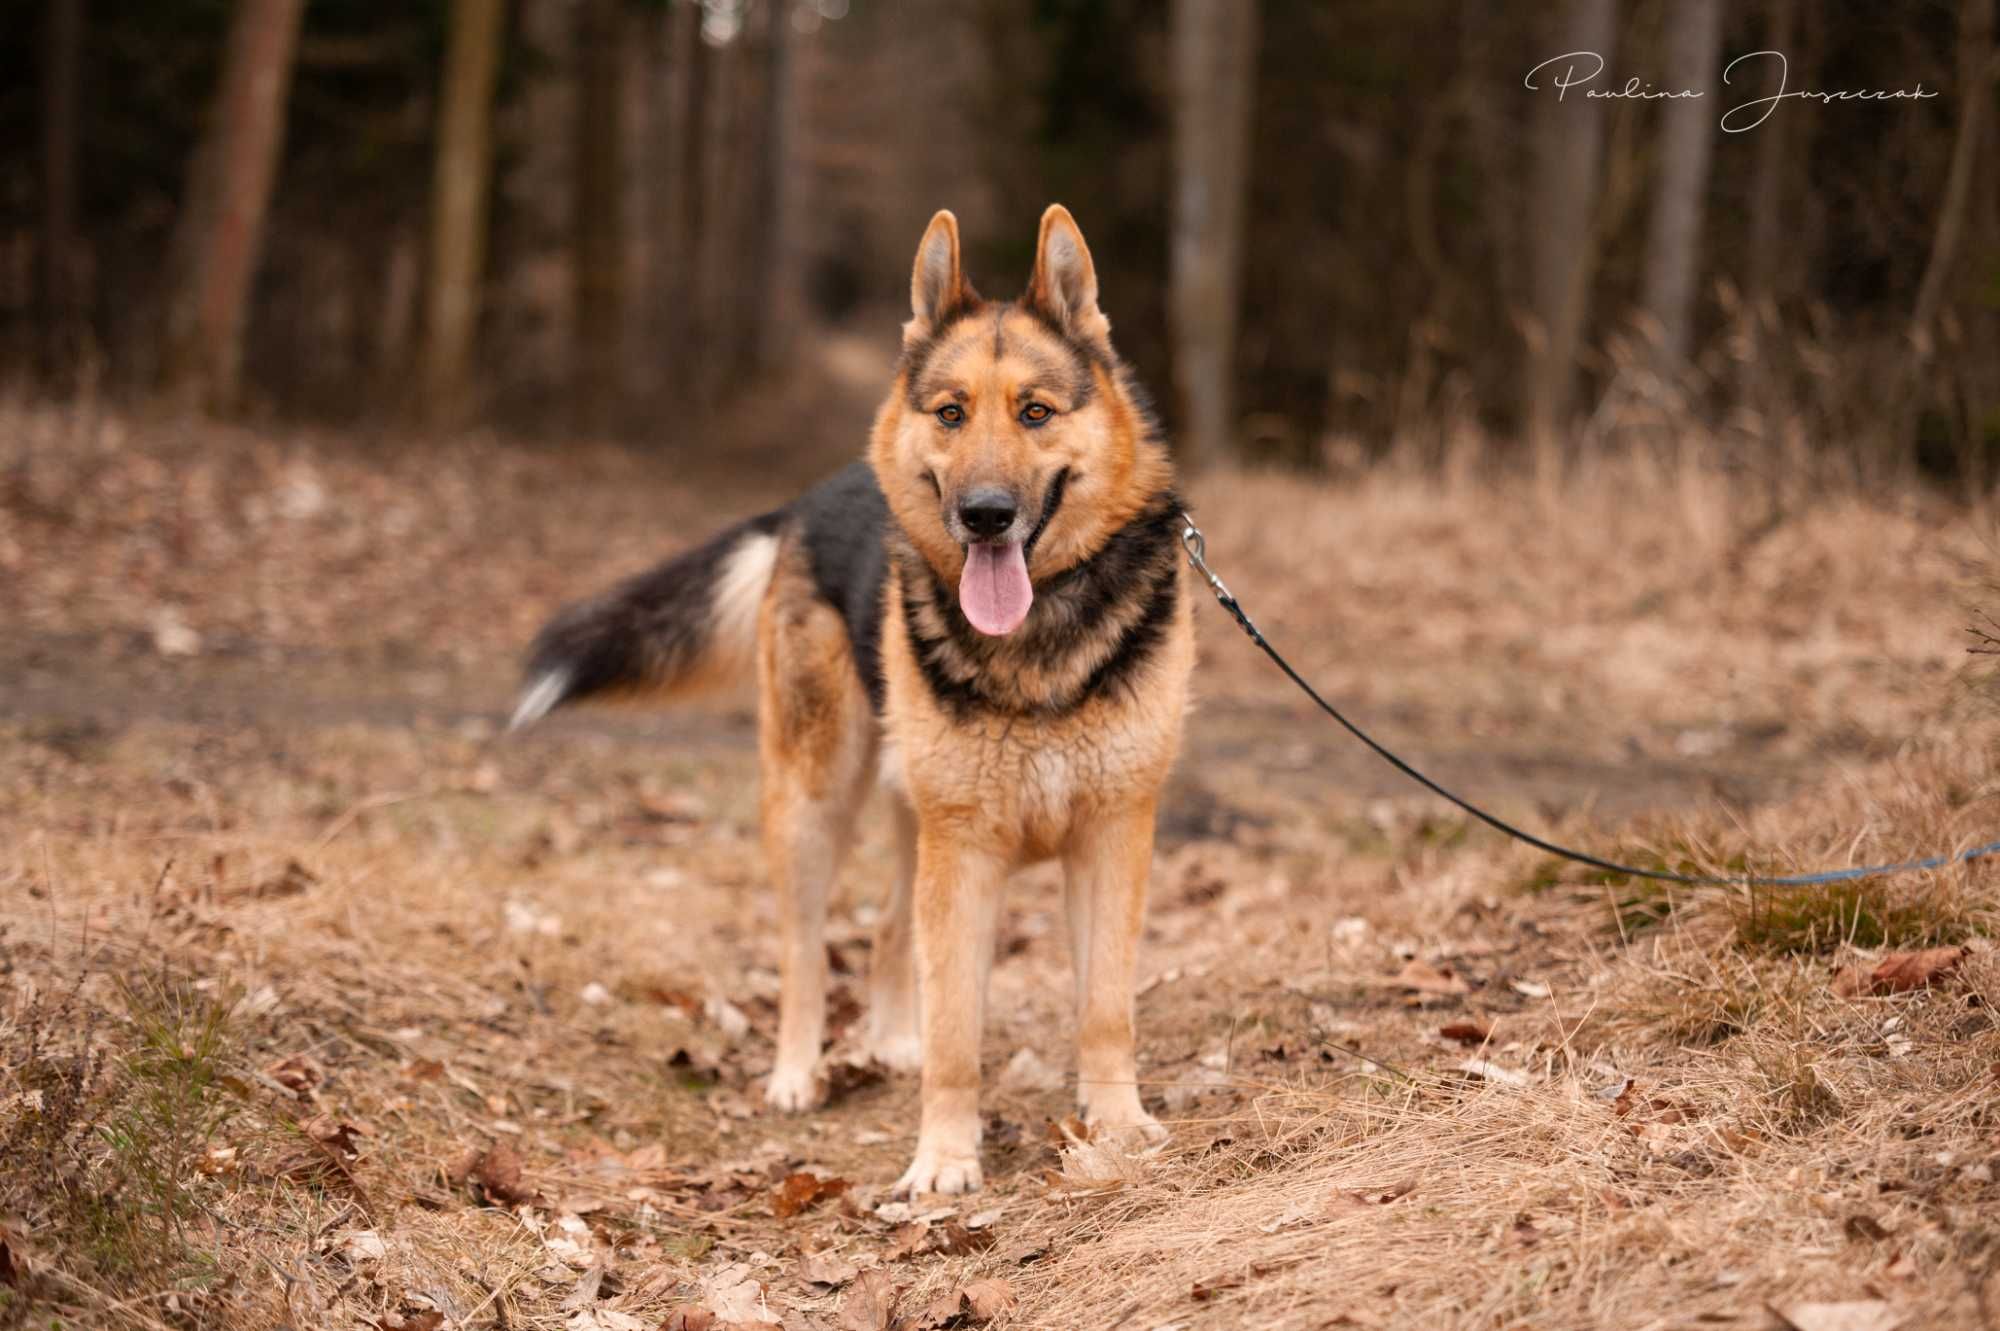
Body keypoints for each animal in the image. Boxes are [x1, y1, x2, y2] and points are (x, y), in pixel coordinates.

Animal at [516, 207, 1192, 1191]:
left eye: (1035, 412)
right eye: (951, 413)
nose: (985, 514)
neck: (1038, 637)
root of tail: (805, 498)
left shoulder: (1111, 836)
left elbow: (1105, 1007)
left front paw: (1117, 1125)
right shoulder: (966, 850)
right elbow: (957, 1031)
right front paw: (944, 1158)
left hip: (915, 818)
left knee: (883, 930)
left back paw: (887, 1038)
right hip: (815, 802)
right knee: (805, 951)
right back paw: (799, 1072)